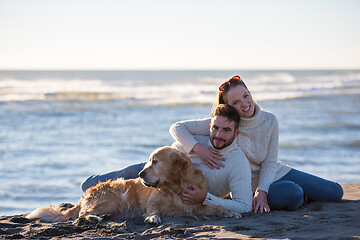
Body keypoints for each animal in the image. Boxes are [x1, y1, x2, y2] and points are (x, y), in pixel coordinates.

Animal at [26, 145, 240, 224]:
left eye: (155, 161)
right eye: (149, 161)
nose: (140, 173)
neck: (176, 188)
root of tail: (86, 194)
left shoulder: (194, 206)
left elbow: (214, 207)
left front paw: (229, 212)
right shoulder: (152, 202)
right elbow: (153, 209)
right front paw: (153, 218)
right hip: (114, 200)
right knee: (82, 214)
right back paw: (94, 218)